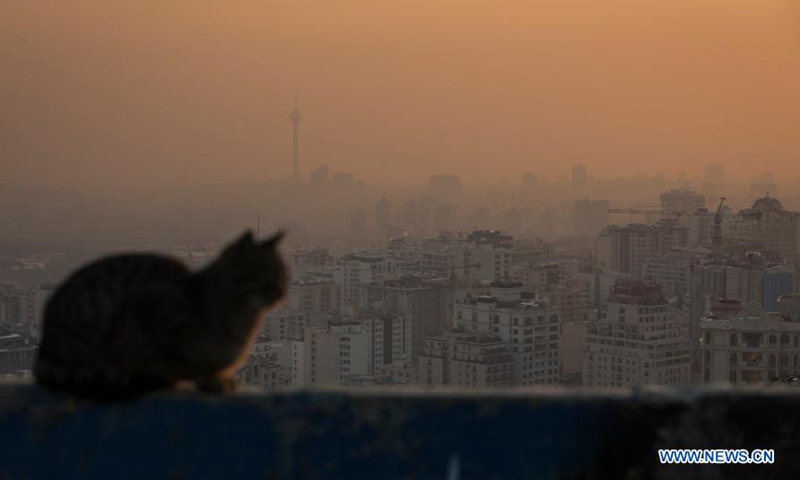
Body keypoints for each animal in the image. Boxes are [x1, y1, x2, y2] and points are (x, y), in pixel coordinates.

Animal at [36, 231, 290, 400]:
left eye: (281, 273)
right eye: (258, 273)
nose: (279, 292)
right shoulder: (147, 308)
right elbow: (173, 360)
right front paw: (203, 378)